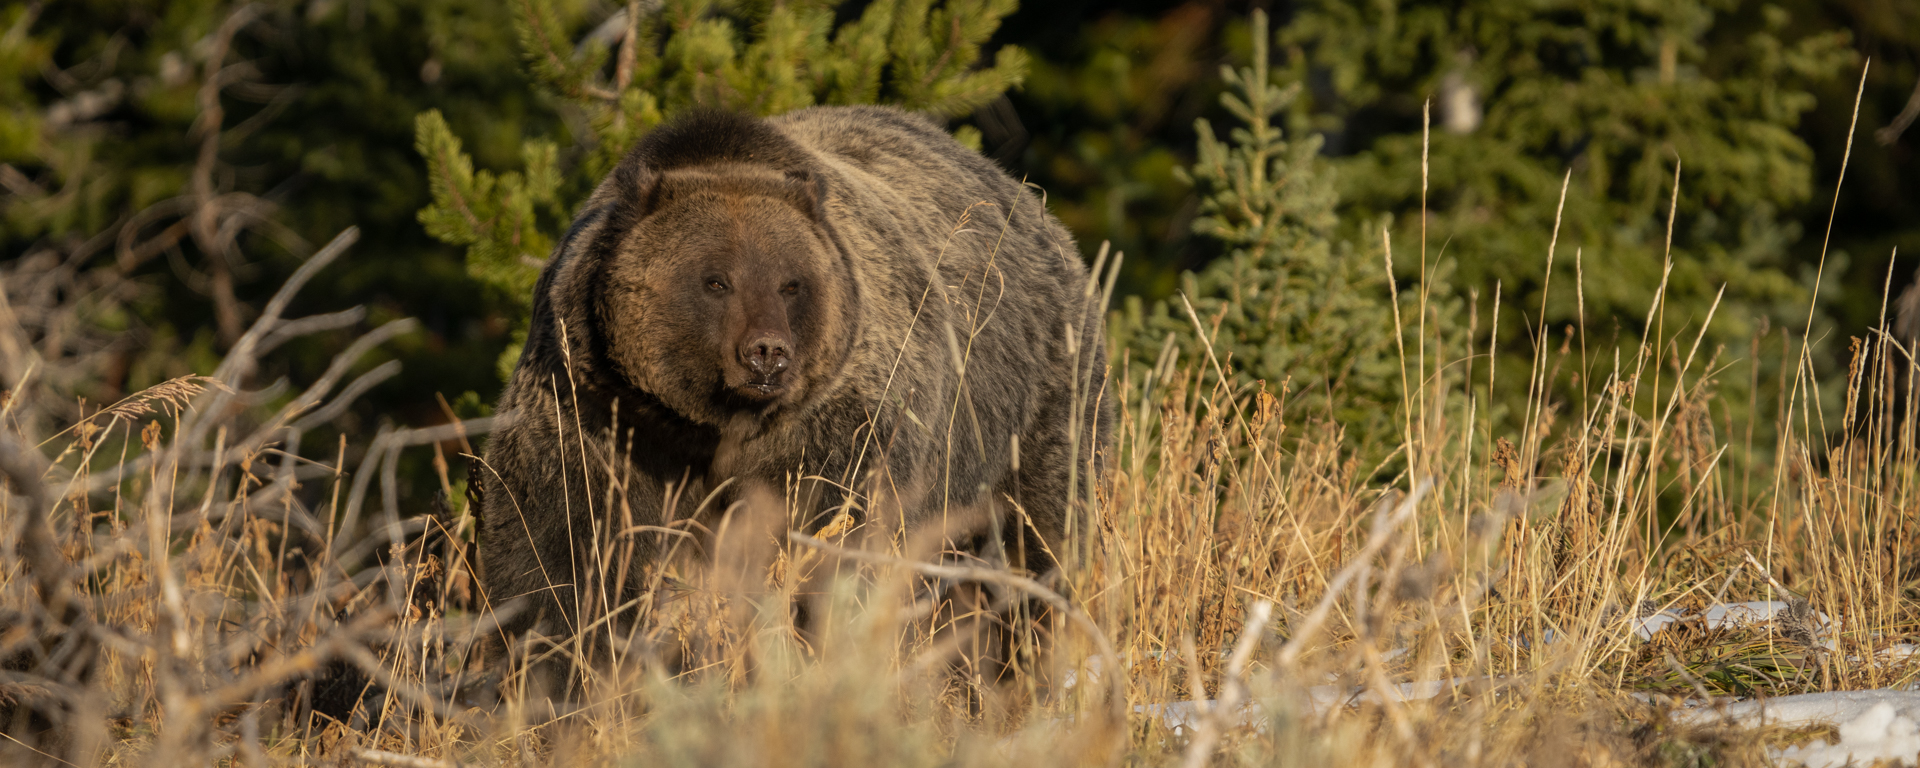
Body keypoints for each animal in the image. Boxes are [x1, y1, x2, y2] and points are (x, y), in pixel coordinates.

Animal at [470, 103, 1113, 679]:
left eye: (790, 282)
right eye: (715, 280)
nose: (766, 352)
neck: (706, 425)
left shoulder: (834, 426)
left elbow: (836, 537)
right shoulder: (598, 404)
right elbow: (555, 544)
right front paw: (553, 671)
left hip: (1032, 405)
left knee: (1040, 544)